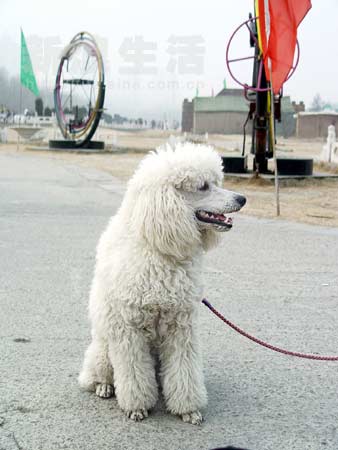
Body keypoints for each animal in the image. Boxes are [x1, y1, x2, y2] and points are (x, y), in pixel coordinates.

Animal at [80, 144, 246, 426]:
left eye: (217, 182)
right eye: (202, 186)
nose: (242, 199)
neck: (157, 246)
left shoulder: (181, 327)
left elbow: (184, 370)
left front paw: (188, 409)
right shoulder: (129, 330)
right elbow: (134, 374)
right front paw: (137, 407)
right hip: (102, 350)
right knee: (97, 375)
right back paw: (104, 386)